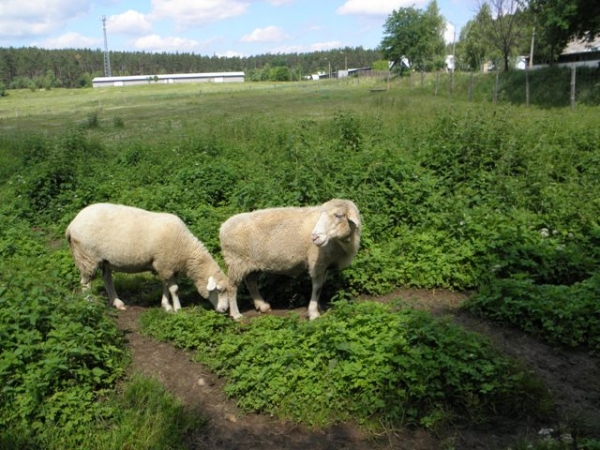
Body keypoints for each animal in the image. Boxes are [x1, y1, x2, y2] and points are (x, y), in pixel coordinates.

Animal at [65, 204, 230, 312]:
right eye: (220, 291)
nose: (224, 310)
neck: (185, 250)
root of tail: (71, 224)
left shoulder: (164, 265)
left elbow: (165, 285)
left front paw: (166, 305)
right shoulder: (165, 264)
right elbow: (174, 289)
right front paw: (177, 309)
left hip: (105, 260)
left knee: (107, 280)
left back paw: (117, 302)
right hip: (87, 256)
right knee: (85, 284)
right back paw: (90, 304)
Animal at [219, 198, 360, 320]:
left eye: (339, 215)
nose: (314, 237)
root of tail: (223, 227)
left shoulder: (324, 264)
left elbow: (320, 287)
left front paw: (317, 307)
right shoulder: (317, 263)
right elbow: (317, 287)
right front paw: (313, 313)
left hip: (251, 261)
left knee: (251, 282)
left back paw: (262, 306)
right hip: (236, 261)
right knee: (231, 287)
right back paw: (236, 315)